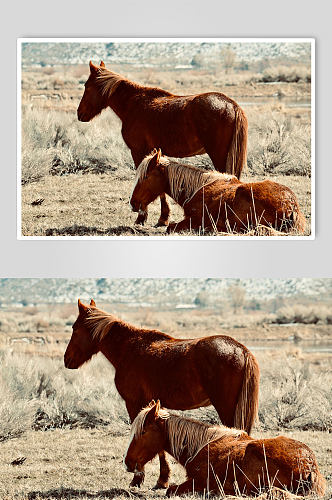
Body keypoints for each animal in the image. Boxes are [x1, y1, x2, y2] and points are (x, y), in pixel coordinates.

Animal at [64, 298, 260, 490]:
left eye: (75, 328)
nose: (67, 360)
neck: (128, 350)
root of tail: (242, 350)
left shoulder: (134, 404)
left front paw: (140, 479)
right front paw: (162, 479)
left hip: (226, 407)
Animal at [76, 60, 248, 227]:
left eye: (87, 86)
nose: (79, 113)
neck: (133, 105)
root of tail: (232, 105)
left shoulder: (139, 152)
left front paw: (144, 217)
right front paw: (163, 217)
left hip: (218, 155)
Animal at [126, 400, 326, 498]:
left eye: (143, 431)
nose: (127, 462)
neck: (199, 446)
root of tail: (309, 465)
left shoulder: (197, 481)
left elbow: (171, 490)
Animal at [130, 148, 306, 234]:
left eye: (146, 177)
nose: (133, 203)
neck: (196, 188)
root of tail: (291, 205)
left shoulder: (193, 220)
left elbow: (170, 227)